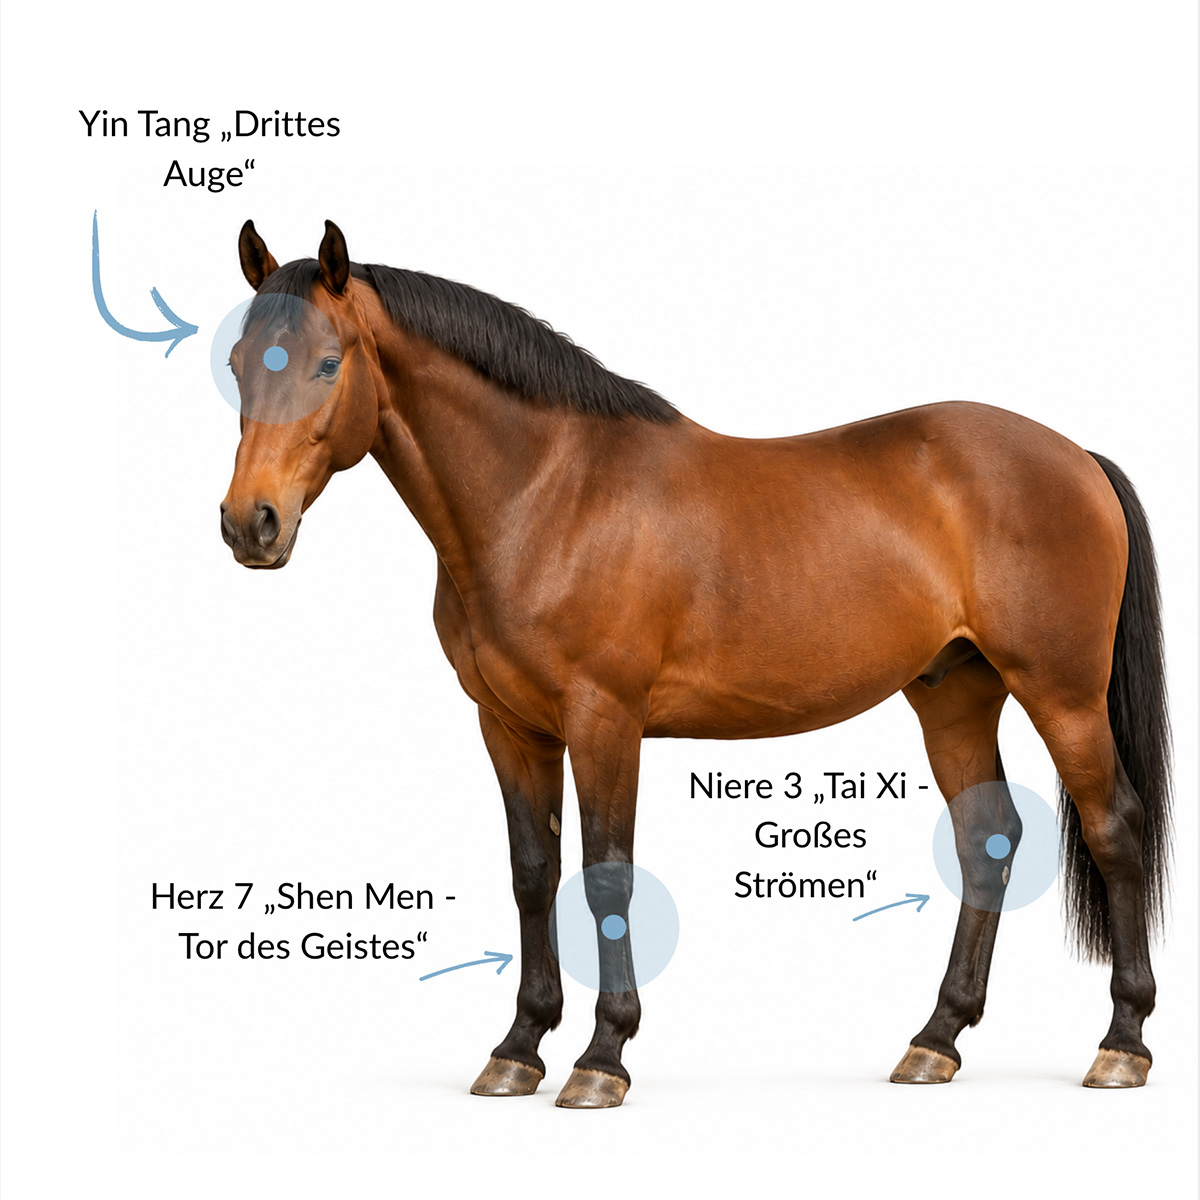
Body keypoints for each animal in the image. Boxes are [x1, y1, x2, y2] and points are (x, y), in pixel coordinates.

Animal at [219, 220, 1171, 1107]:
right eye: (235, 363)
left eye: (327, 363)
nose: (249, 524)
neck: (548, 494)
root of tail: (1077, 457)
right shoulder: (510, 726)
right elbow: (534, 874)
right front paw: (518, 1048)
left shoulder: (604, 719)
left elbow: (605, 878)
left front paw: (602, 1058)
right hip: (955, 695)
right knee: (987, 842)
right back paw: (935, 1040)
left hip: (1062, 694)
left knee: (1114, 828)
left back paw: (1121, 1044)